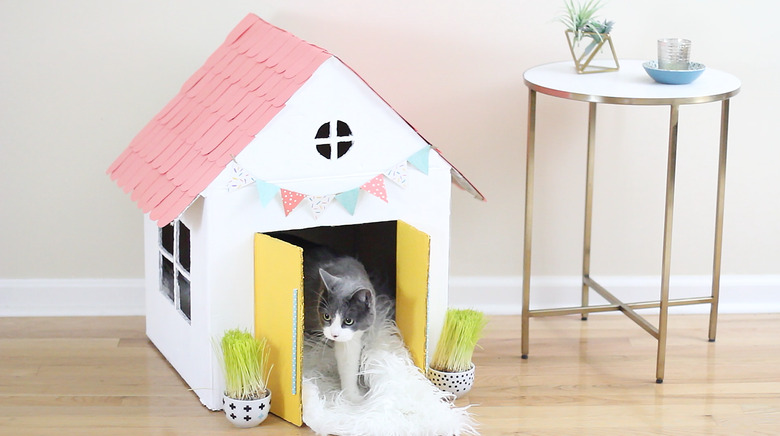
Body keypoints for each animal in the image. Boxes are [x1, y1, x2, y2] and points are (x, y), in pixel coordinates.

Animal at [304, 247, 376, 400]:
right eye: (326, 316)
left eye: (348, 320)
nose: (334, 335)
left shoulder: (353, 335)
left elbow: (348, 359)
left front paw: (352, 397)